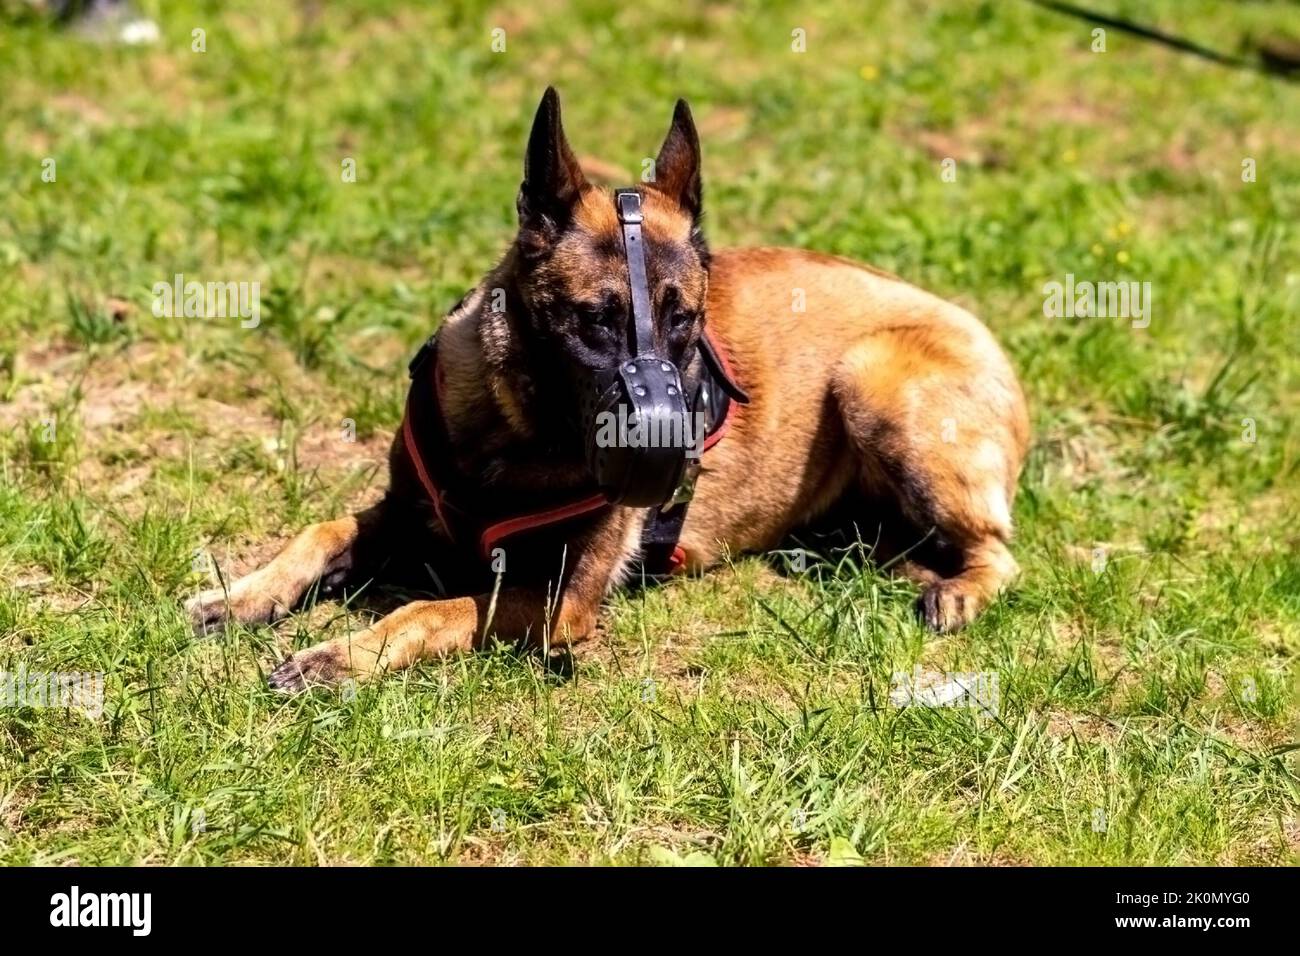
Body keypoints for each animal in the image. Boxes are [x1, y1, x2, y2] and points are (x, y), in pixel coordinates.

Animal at [188, 89, 1029, 691]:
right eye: (595, 318)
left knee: (1002, 552)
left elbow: (431, 607)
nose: (663, 451)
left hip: (872, 378)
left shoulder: (563, 598)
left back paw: (958, 590)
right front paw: (241, 594)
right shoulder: (403, 511)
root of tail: (983, 329)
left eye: (684, 318)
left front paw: (339, 655)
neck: (513, 433)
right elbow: (320, 531)